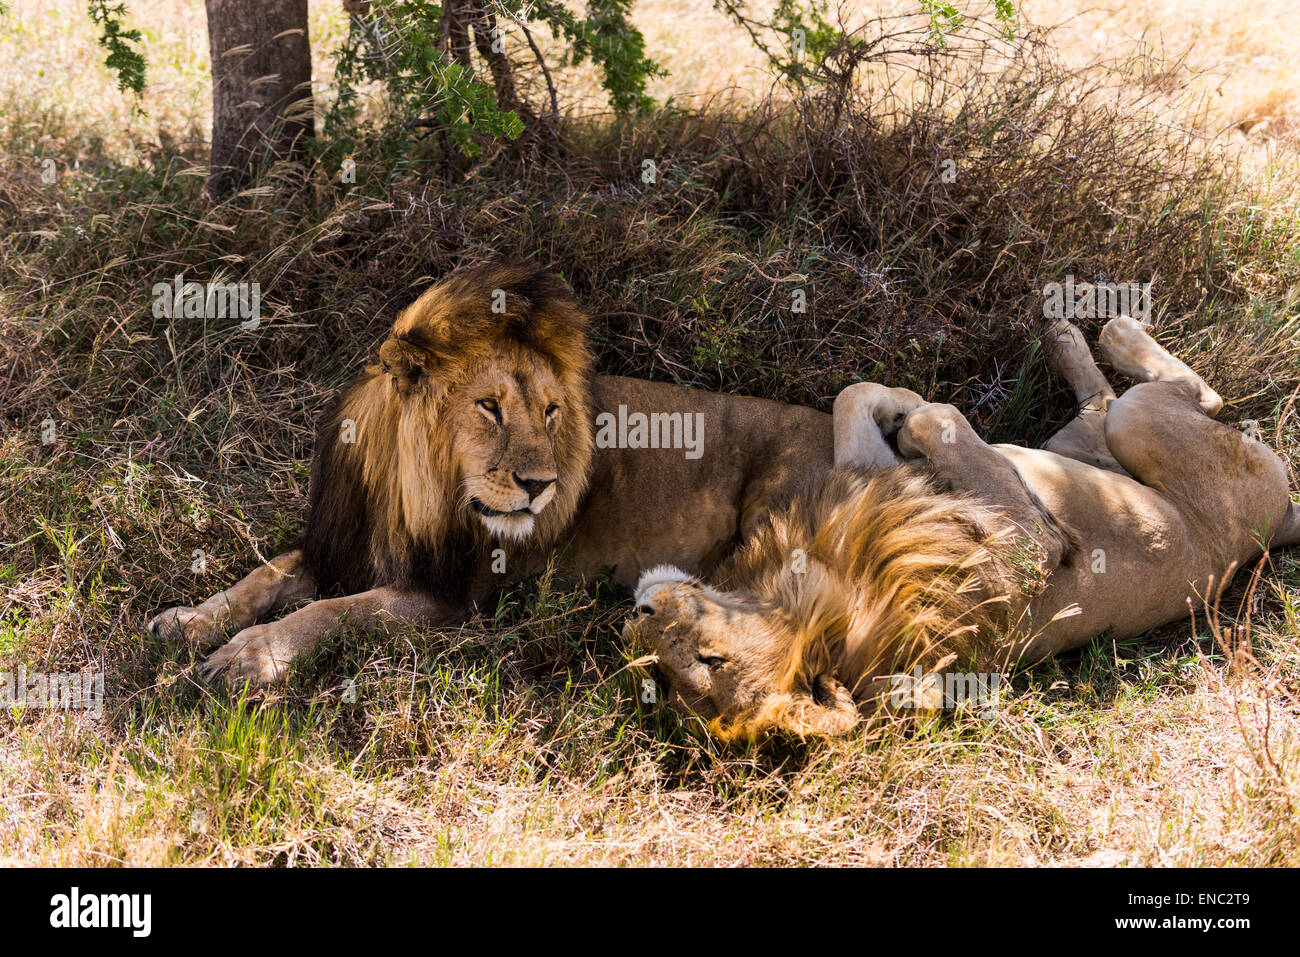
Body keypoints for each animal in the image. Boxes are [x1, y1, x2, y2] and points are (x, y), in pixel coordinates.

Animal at [147, 257, 826, 686]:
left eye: (551, 412)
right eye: (489, 407)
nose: (542, 487)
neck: (405, 492)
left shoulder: (448, 595)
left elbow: (333, 612)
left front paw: (248, 656)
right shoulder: (339, 544)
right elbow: (262, 577)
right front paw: (189, 622)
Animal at [624, 317, 1294, 738]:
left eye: (707, 659)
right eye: (669, 669)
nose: (639, 613)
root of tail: (1277, 527)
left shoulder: (875, 482)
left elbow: (856, 397)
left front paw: (897, 402)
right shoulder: (1029, 543)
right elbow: (931, 420)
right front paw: (915, 409)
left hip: (1090, 443)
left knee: (1110, 401)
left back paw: (1068, 335)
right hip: (1144, 429)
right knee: (1179, 396)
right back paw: (1106, 331)